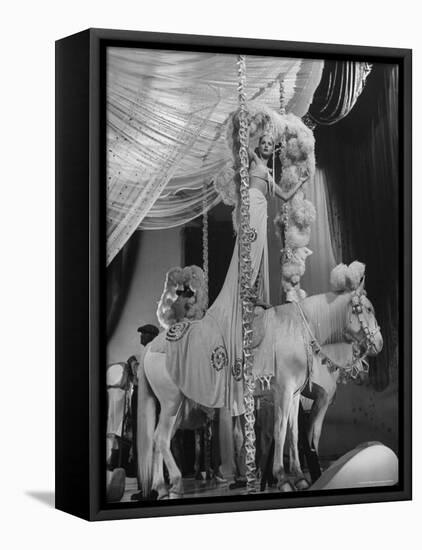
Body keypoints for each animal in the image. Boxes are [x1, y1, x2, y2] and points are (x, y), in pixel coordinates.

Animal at [138, 272, 382, 500]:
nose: (379, 343)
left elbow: (294, 433)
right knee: (161, 438)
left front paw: (299, 477)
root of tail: (152, 346)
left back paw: (161, 487)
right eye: (368, 309)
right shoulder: (283, 393)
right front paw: (283, 478)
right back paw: (176, 483)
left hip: (177, 407)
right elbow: (280, 430)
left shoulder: (295, 396)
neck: (297, 332)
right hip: (172, 402)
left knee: (158, 441)